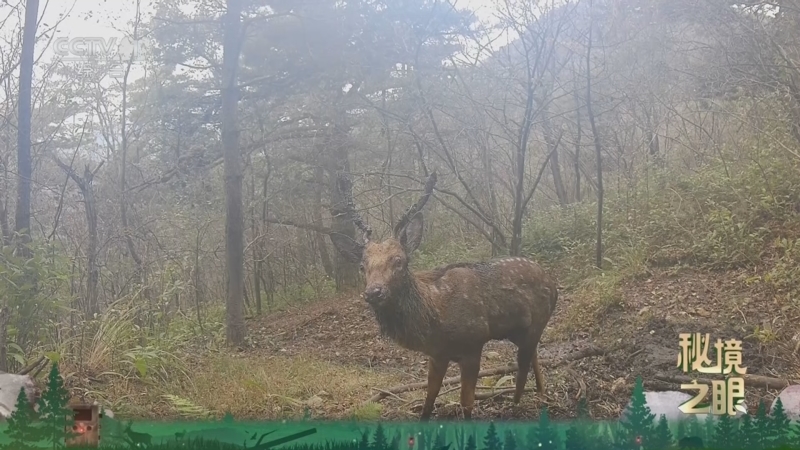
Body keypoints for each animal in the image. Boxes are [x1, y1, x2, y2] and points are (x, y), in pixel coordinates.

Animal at [329, 171, 559, 420]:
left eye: (399, 261)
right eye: (362, 266)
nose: (374, 292)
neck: (435, 319)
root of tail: (553, 282)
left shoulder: (473, 343)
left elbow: (466, 403)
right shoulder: (437, 355)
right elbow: (429, 397)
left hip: (538, 321)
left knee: (525, 360)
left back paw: (519, 403)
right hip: (515, 331)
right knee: (533, 355)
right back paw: (537, 392)